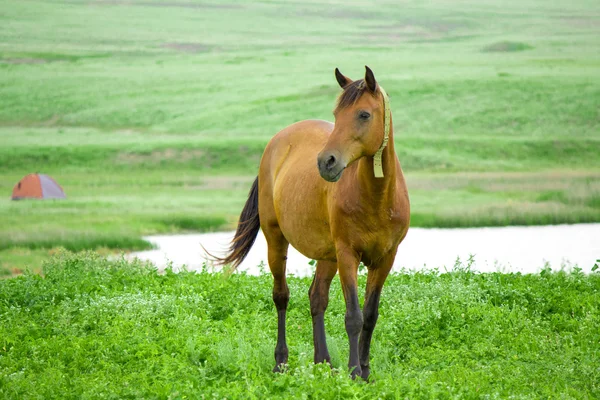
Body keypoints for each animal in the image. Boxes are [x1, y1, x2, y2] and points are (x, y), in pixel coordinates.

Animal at [211, 66, 408, 382]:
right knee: (281, 296)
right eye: (336, 114)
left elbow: (370, 315)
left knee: (317, 298)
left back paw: (323, 362)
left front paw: (365, 372)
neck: (378, 199)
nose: (327, 162)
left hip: (327, 255)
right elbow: (354, 317)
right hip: (277, 240)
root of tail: (277, 141)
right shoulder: (348, 254)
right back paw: (281, 362)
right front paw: (354, 372)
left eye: (364, 114)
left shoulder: (386, 258)